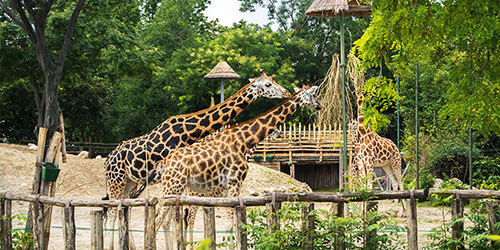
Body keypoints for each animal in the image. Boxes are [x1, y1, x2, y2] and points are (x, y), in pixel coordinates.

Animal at [102, 70, 292, 203]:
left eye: (274, 80)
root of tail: (107, 159)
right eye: (268, 84)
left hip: (129, 181)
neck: (188, 132)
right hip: (117, 180)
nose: (287, 92)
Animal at [154, 85, 322, 238]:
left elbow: (233, 223)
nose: (319, 105)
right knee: (163, 219)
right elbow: (230, 224)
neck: (243, 142)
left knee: (170, 219)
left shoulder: (226, 190)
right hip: (176, 187)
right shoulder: (235, 182)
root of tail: (164, 163)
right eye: (313, 94)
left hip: (178, 189)